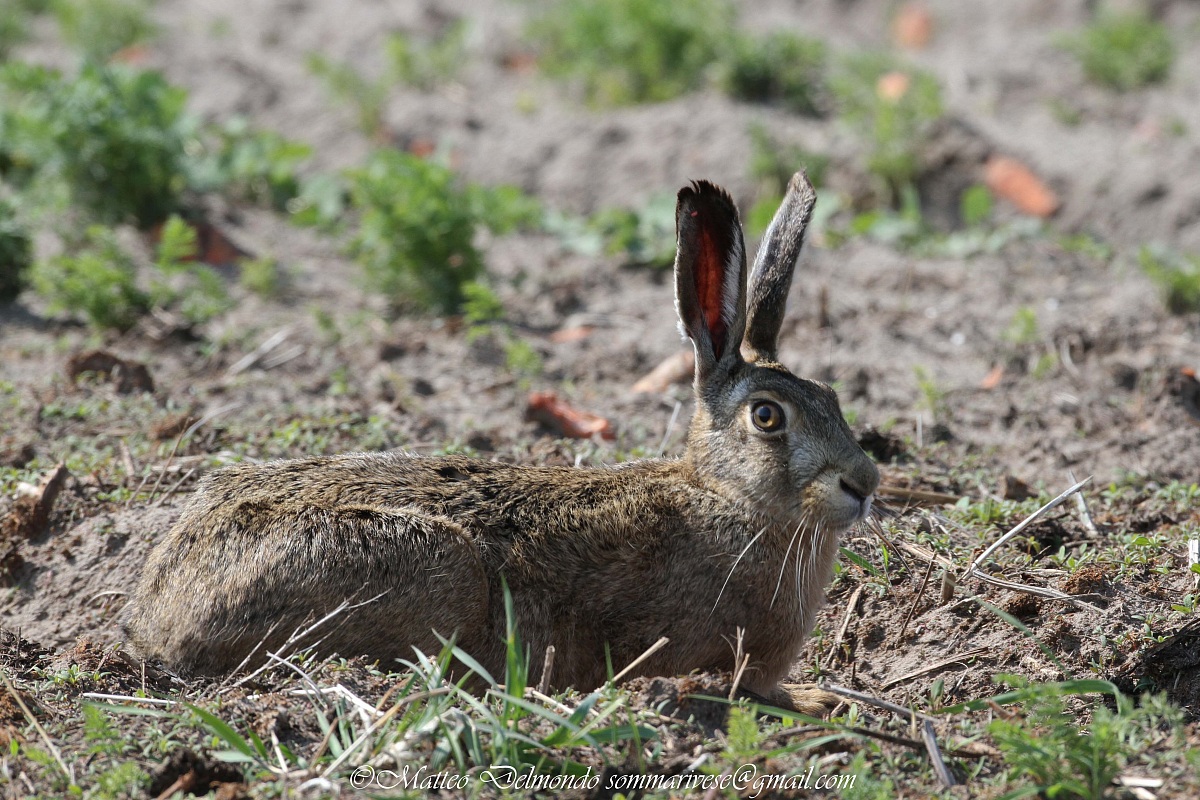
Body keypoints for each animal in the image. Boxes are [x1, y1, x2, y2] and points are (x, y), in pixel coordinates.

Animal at [123, 172, 879, 714]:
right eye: (768, 418)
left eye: (834, 399)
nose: (865, 482)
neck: (727, 499)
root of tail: (159, 608)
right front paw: (815, 698)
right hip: (434, 566)